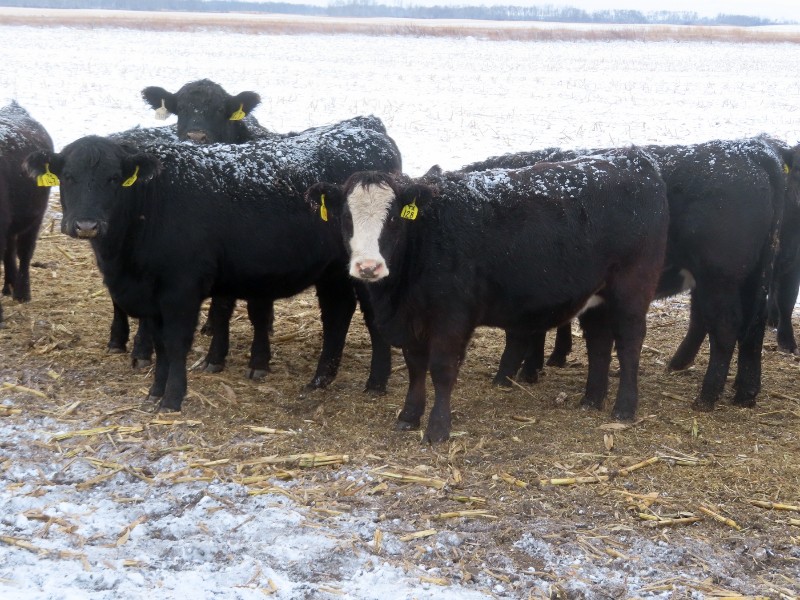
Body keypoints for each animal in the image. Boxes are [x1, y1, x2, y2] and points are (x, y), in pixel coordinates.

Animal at [24, 128, 401, 412]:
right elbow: (160, 343)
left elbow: (176, 342)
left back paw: (376, 381)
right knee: (337, 314)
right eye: (67, 177)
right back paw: (321, 379)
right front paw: (155, 392)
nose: (87, 225)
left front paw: (172, 399)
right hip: (333, 272)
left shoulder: (181, 289)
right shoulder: (153, 297)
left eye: (114, 179)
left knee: (369, 317)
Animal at [306, 148, 670, 442]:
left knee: (629, 344)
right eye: (346, 217)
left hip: (632, 289)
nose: (368, 266)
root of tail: (632, 158)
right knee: (599, 343)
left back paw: (624, 407)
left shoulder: (452, 316)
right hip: (596, 296)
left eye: (394, 217)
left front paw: (438, 429)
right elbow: (415, 367)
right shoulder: (412, 321)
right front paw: (409, 417)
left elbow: (441, 369)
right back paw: (591, 400)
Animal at [471, 137, 790, 412]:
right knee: (751, 326)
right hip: (749, 279)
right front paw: (537, 365)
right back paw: (744, 392)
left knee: (725, 326)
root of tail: (748, 150)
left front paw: (513, 373)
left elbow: (522, 332)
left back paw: (707, 395)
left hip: (719, 278)